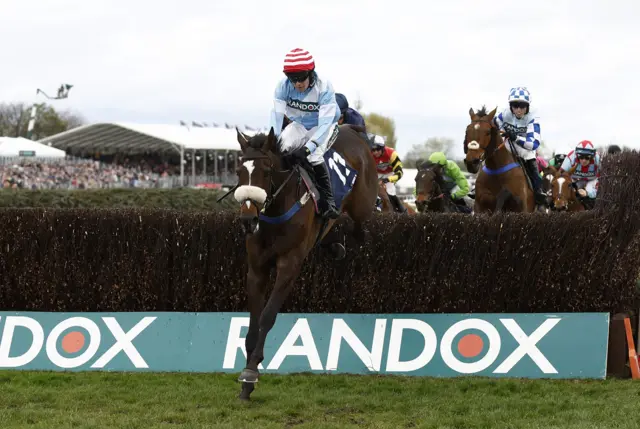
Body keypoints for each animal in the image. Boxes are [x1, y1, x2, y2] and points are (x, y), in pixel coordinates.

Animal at [231, 123, 378, 402]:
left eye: (267, 171)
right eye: (238, 171)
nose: (247, 219)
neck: (274, 213)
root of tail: (350, 129)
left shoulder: (289, 266)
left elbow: (267, 316)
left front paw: (252, 372)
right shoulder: (256, 268)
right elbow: (253, 321)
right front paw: (246, 376)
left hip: (363, 208)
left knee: (359, 229)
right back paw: (333, 243)